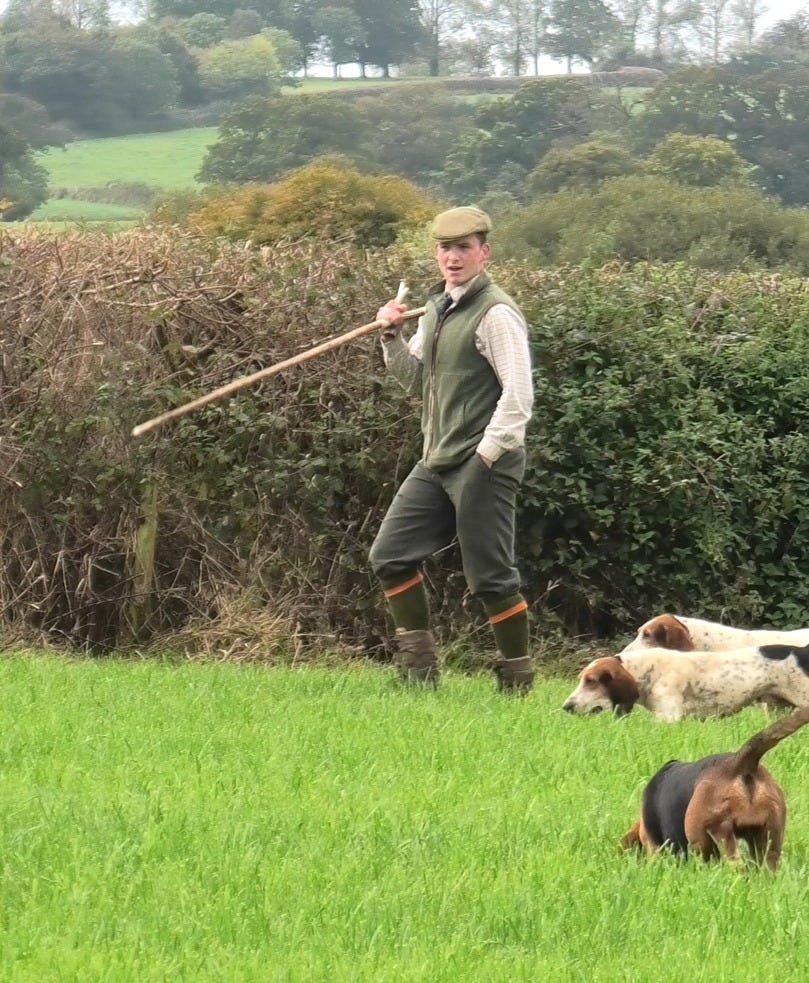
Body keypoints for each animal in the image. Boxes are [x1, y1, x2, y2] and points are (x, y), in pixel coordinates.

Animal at [560, 644, 808, 724]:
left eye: (591, 681)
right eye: (581, 679)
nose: (566, 707)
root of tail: (802, 651)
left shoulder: (667, 717)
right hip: (776, 709)